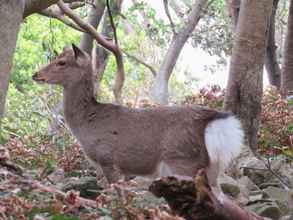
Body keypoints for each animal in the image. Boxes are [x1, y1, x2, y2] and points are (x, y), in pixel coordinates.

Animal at [32, 44, 244, 198]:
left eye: (61, 62)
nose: (36, 74)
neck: (87, 124)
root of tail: (214, 122)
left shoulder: (108, 159)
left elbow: (118, 196)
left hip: (182, 161)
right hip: (211, 169)